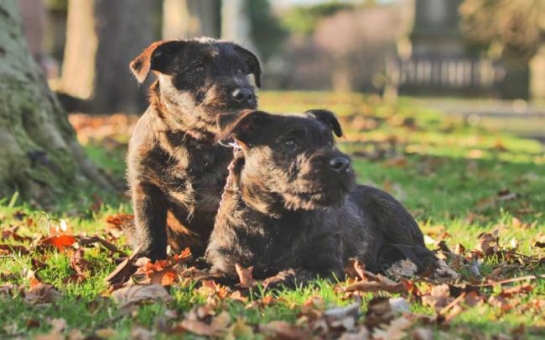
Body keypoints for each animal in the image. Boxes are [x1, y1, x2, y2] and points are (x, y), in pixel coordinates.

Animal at [130, 37, 262, 260]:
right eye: (199, 67)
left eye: (241, 69)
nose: (245, 94)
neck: (193, 143)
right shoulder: (146, 188)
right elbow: (149, 229)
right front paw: (148, 258)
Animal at [205, 110, 438, 286]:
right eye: (290, 142)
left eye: (328, 140)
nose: (342, 164)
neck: (275, 219)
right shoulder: (228, 263)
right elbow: (207, 278)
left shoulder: (325, 266)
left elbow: (289, 275)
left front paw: (261, 285)